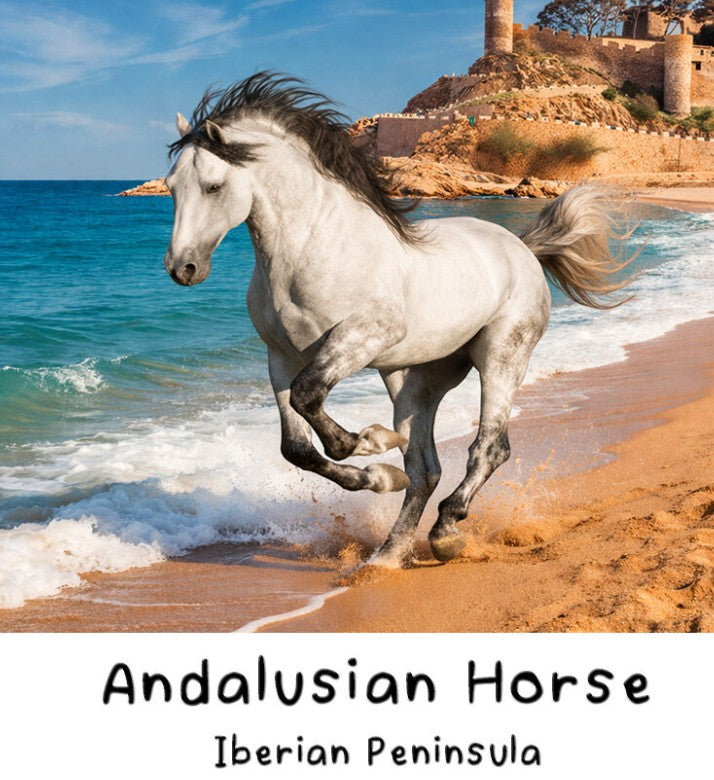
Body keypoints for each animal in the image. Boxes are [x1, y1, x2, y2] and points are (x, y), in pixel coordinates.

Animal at [163, 72, 632, 564]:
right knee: (424, 469)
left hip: (502, 356)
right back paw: (389, 552)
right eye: (172, 186)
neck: (313, 248)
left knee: (490, 447)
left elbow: (312, 402)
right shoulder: (280, 358)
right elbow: (297, 448)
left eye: (213, 186)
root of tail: (521, 245)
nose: (182, 268)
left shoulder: (365, 335)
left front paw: (370, 442)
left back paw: (446, 530)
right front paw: (378, 474)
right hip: (414, 380)